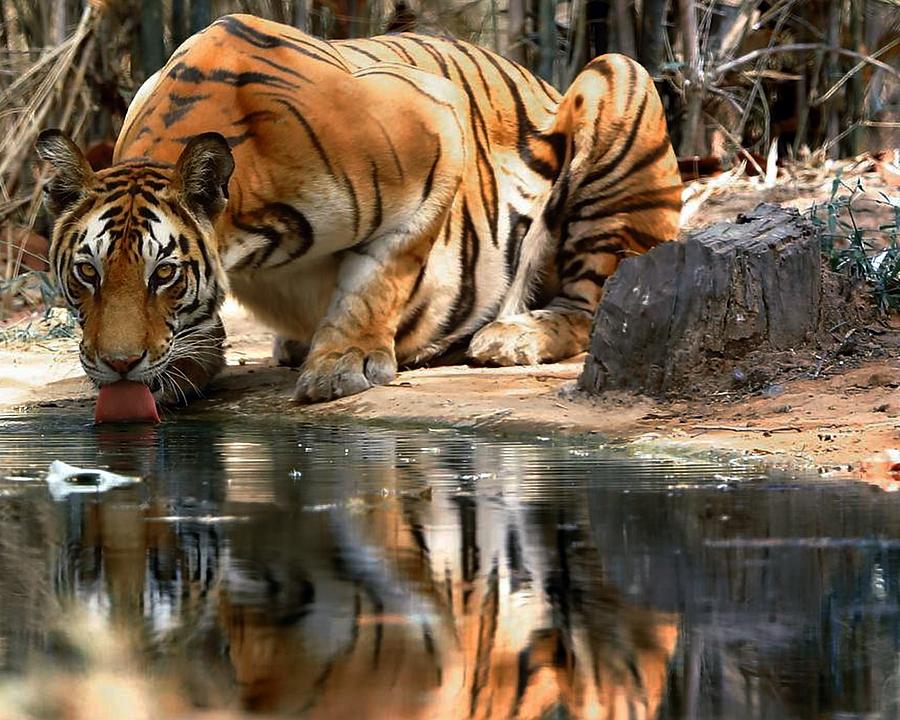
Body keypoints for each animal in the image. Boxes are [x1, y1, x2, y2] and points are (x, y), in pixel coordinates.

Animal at [37, 12, 684, 404]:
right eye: (87, 273)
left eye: (164, 274)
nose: (119, 366)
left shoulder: (438, 127)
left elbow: (379, 277)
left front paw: (341, 365)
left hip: (618, 80)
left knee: (595, 305)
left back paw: (512, 336)